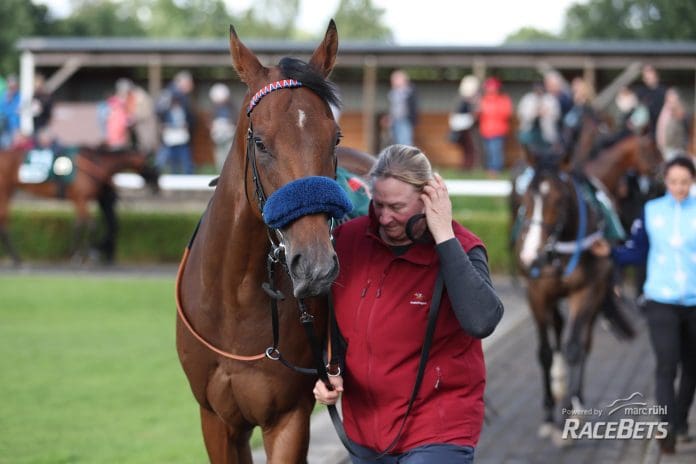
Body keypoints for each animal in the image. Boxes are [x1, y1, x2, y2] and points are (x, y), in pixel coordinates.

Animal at [0, 145, 158, 264]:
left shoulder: (80, 200)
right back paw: (16, 258)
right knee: (4, 222)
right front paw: (83, 254)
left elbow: (80, 224)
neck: (96, 162)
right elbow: (89, 225)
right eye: (150, 162)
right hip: (5, 192)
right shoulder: (81, 198)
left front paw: (80, 253)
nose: (156, 184)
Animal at [177, 20, 350, 460]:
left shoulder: (289, 417)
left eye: (335, 138)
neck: (235, 304)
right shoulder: (216, 418)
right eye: (260, 142)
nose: (316, 265)